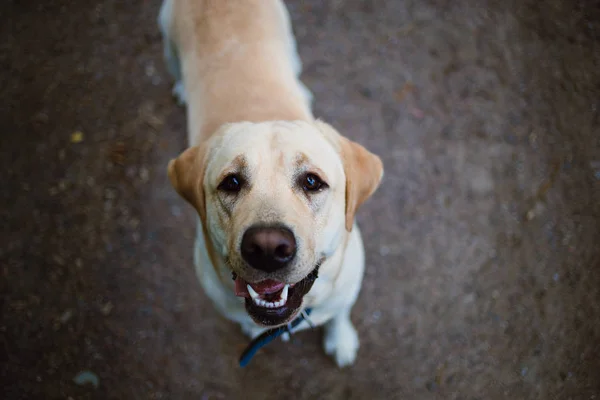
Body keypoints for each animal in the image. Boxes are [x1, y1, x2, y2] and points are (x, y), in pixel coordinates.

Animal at [159, 0, 382, 368]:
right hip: (168, 37)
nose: (267, 248)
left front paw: (342, 339)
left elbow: (339, 314)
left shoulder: (346, 289)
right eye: (231, 182)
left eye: (312, 181)